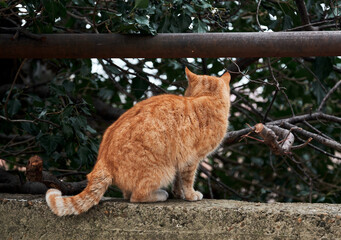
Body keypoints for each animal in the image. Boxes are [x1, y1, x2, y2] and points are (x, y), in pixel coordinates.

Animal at [45, 67, 231, 216]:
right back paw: (160, 195)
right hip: (164, 170)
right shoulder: (191, 159)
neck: (207, 97)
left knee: (128, 194)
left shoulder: (182, 158)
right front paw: (191, 195)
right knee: (136, 196)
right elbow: (187, 180)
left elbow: (179, 181)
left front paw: (179, 194)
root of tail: (102, 161)